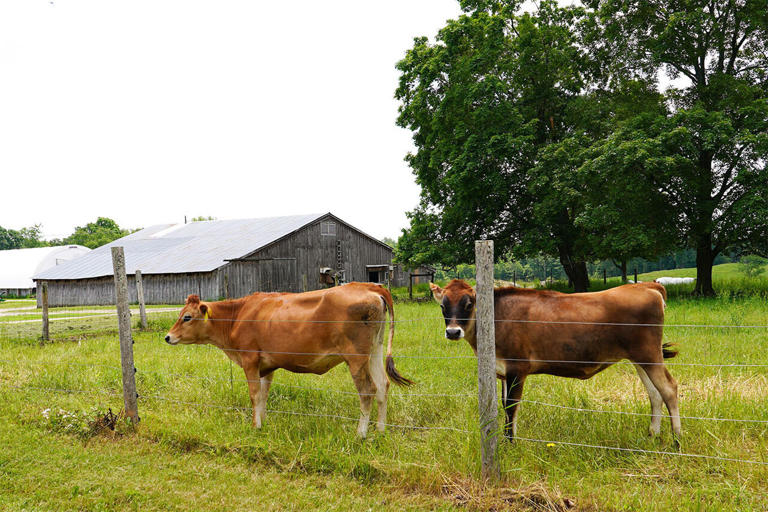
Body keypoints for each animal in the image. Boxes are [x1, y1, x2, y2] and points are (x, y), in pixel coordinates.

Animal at [164, 282, 412, 438]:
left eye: (187, 317)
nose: (167, 336)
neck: (237, 316)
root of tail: (369, 286)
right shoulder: (267, 365)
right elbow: (264, 395)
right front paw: (263, 422)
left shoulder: (249, 359)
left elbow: (254, 395)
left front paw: (255, 426)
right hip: (375, 350)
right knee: (382, 385)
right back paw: (380, 430)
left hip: (356, 357)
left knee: (367, 390)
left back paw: (360, 433)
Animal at [428, 278, 680, 442]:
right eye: (442, 306)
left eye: (468, 304)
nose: (453, 332)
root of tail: (647, 285)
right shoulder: (502, 371)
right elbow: (504, 405)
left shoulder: (517, 368)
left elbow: (511, 406)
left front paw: (510, 444)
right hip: (639, 358)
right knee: (654, 393)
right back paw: (652, 434)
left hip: (649, 354)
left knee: (669, 389)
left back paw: (676, 440)